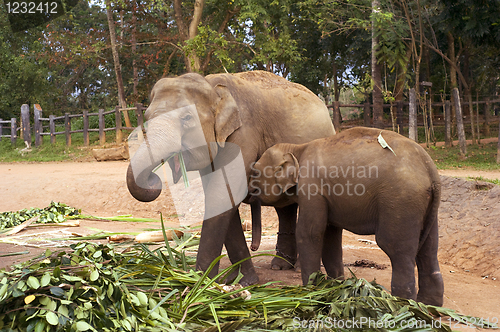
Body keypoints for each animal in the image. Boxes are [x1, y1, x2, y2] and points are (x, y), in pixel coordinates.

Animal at [126, 70, 336, 286]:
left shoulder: (243, 133)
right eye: (146, 117)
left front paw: (200, 283)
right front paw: (236, 281)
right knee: (285, 208)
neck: (212, 87)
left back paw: (297, 268)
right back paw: (280, 266)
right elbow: (223, 197)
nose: (154, 179)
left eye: (187, 117)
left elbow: (222, 194)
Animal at [252, 126, 444, 306]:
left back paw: (402, 305)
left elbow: (310, 233)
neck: (296, 148)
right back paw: (429, 304)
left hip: (400, 202)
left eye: (255, 173)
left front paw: (310, 292)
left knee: (396, 249)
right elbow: (330, 236)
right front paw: (335, 287)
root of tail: (431, 171)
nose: (253, 249)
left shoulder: (312, 189)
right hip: (425, 209)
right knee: (429, 250)